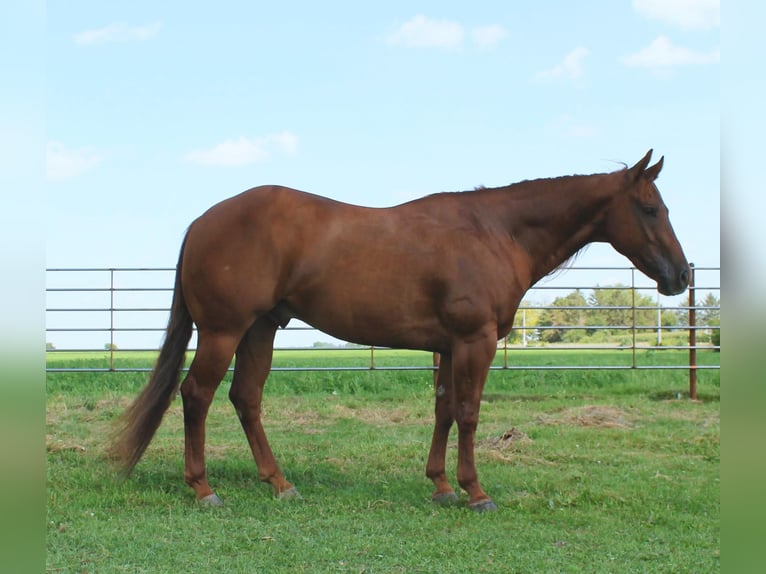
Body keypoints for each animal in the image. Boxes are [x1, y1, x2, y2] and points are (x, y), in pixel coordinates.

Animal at [111, 150, 692, 512]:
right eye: (649, 208)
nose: (681, 276)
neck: (494, 232)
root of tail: (202, 221)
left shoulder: (447, 346)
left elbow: (443, 409)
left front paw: (440, 485)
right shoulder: (475, 341)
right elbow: (468, 412)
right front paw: (475, 492)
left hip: (259, 331)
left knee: (245, 398)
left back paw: (280, 483)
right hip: (224, 331)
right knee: (197, 395)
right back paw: (204, 489)